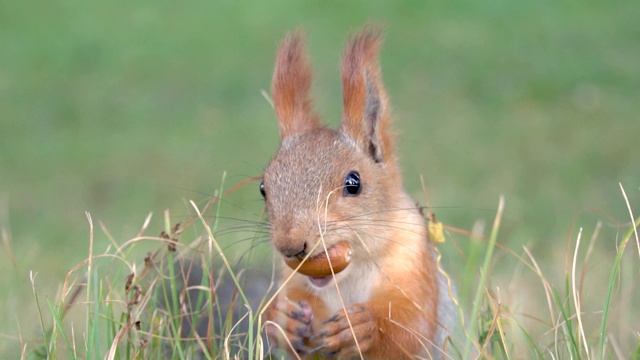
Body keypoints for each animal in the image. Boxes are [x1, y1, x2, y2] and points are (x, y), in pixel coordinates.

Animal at [260, 28, 456, 360]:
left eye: (354, 183)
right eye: (263, 187)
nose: (290, 246)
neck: (347, 277)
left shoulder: (412, 263)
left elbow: (409, 329)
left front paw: (362, 327)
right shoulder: (296, 282)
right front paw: (283, 319)